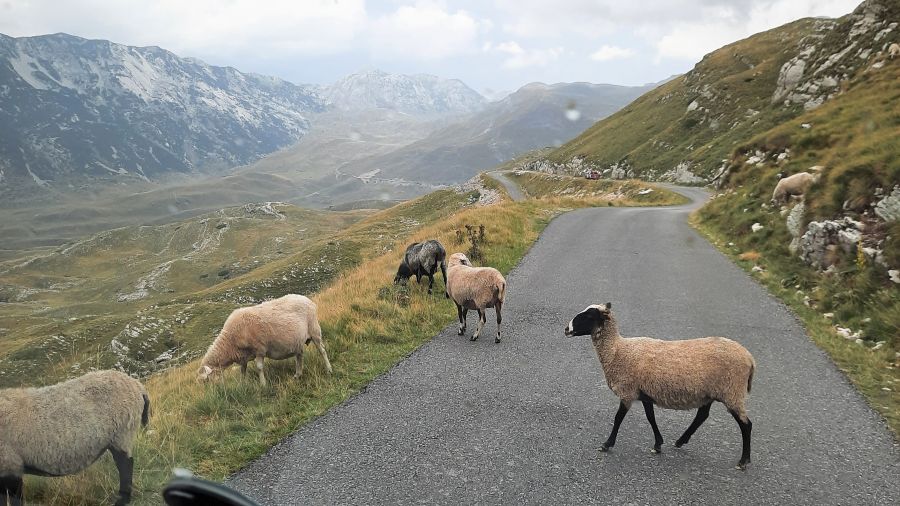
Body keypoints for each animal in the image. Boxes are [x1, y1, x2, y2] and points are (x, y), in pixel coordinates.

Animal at [198, 294, 333, 386]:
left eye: (206, 380)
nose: (215, 393)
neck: (230, 342)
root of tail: (308, 300)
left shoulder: (259, 349)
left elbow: (259, 368)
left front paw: (263, 384)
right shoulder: (244, 357)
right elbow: (243, 371)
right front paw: (243, 385)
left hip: (314, 330)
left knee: (322, 351)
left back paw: (329, 369)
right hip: (297, 341)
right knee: (299, 356)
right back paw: (297, 375)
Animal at [564, 303, 756, 469]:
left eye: (589, 316)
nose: (566, 329)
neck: (617, 350)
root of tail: (750, 359)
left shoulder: (628, 392)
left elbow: (618, 418)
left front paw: (606, 444)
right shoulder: (644, 393)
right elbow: (651, 418)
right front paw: (657, 444)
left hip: (732, 391)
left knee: (746, 424)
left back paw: (743, 461)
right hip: (711, 393)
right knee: (702, 416)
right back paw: (680, 441)